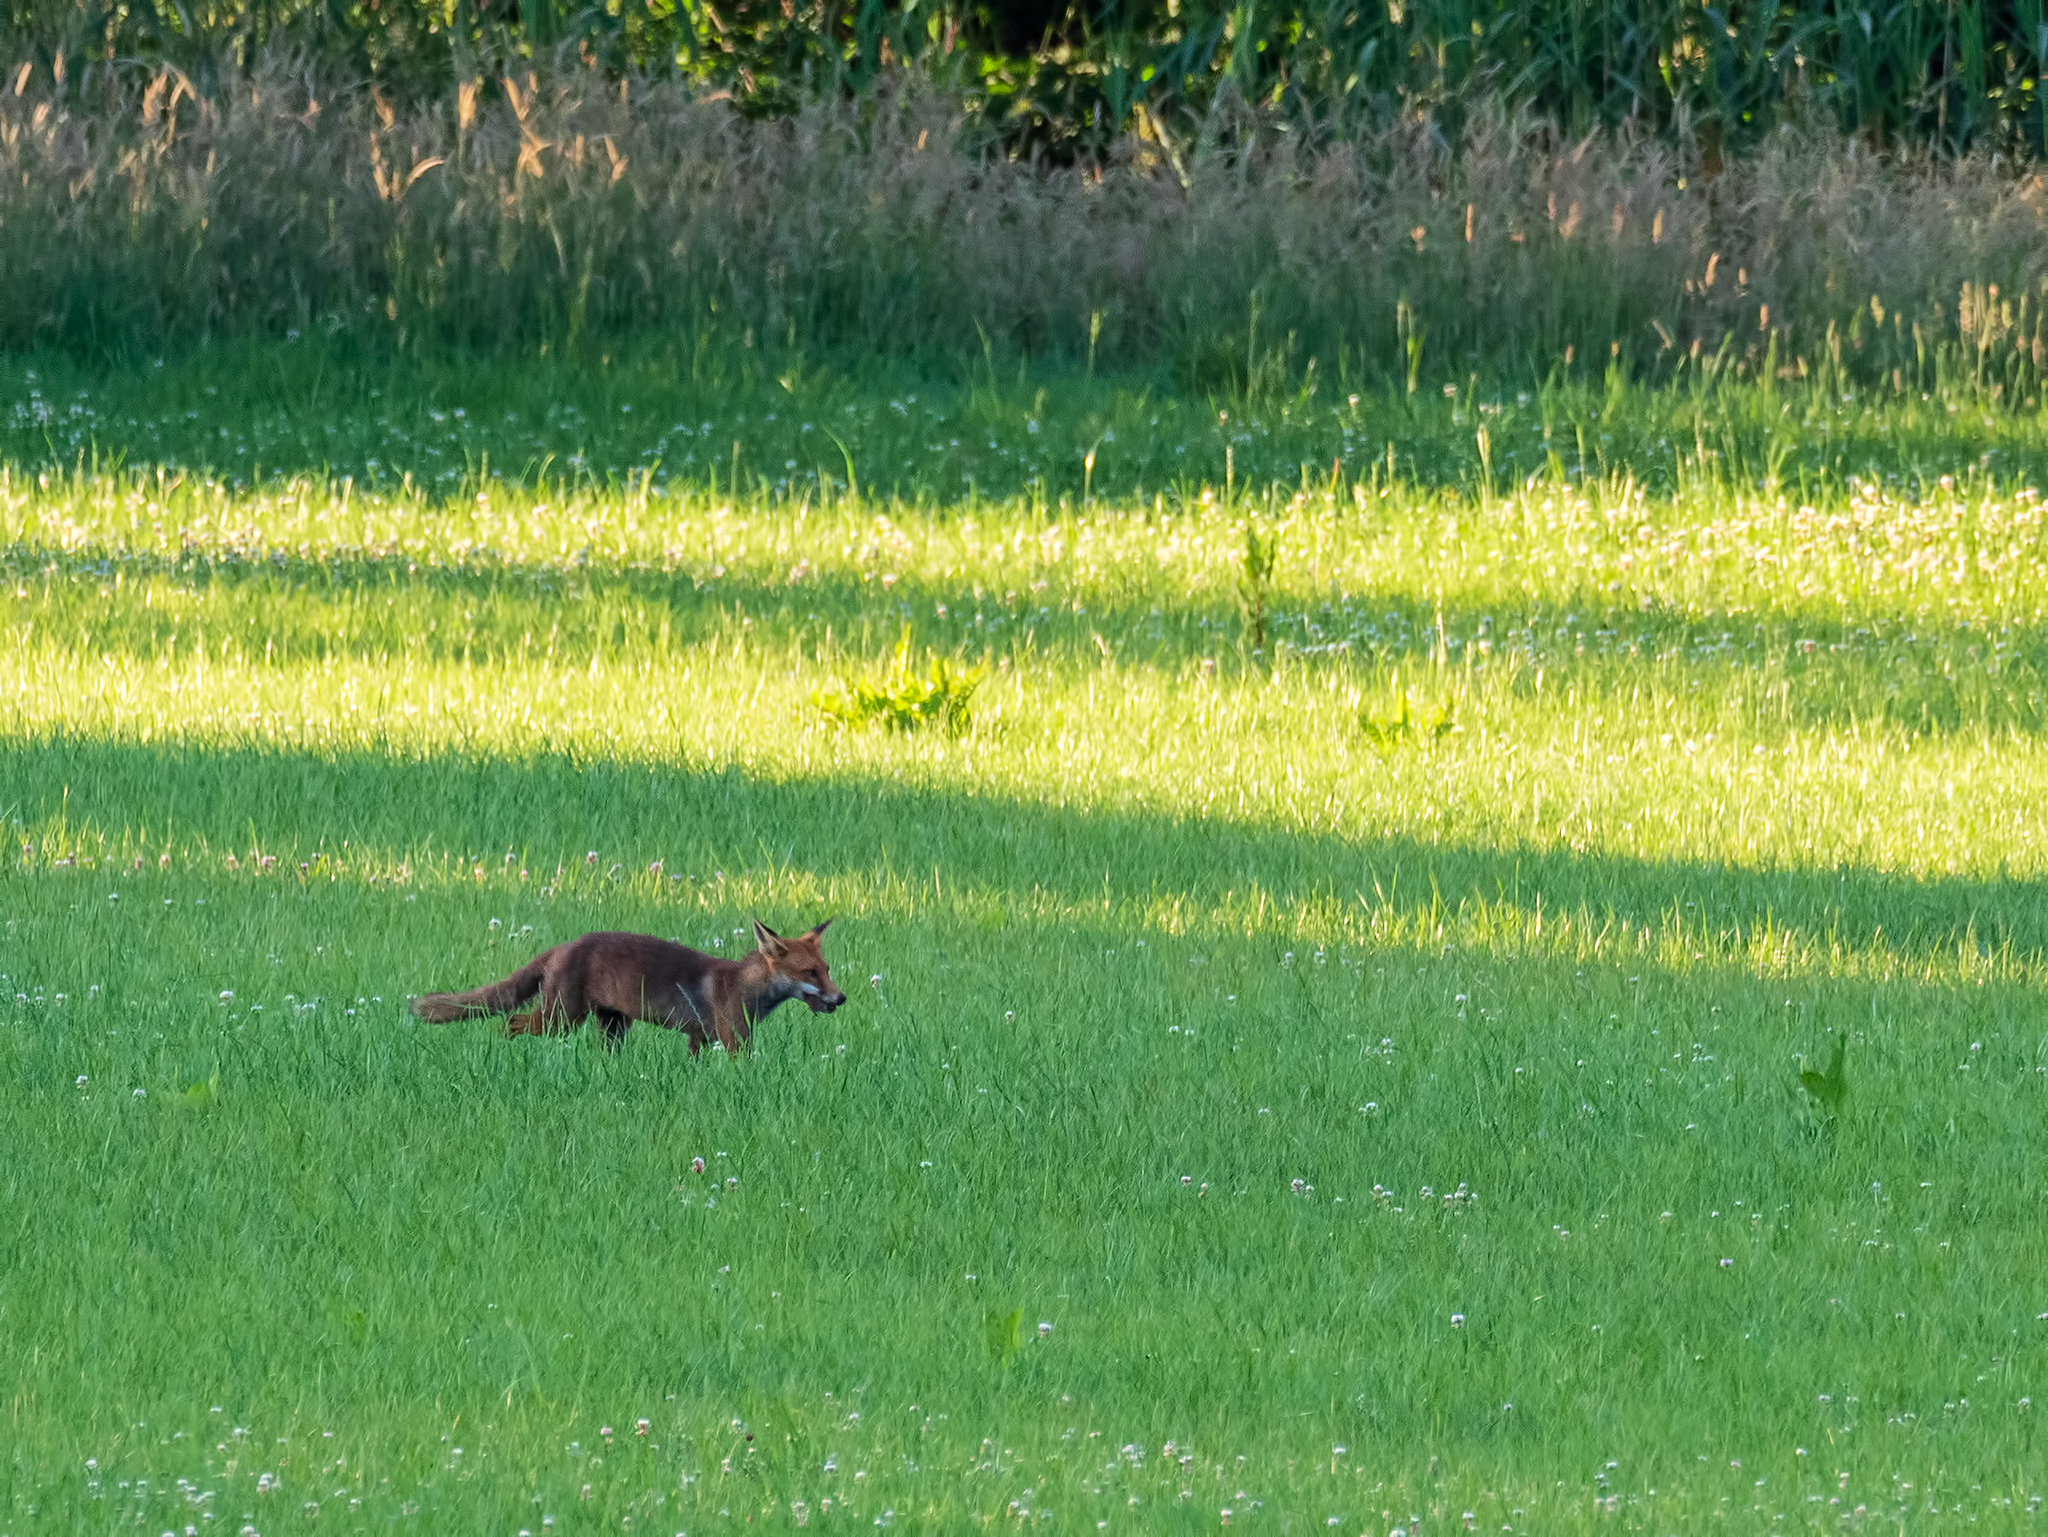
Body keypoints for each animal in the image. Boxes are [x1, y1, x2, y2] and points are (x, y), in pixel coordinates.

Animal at [409, 918, 845, 1054]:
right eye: (809, 973)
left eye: (826, 969)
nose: (841, 998)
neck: (745, 987)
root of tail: (564, 945)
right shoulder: (734, 1040)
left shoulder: (699, 1039)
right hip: (561, 1019)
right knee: (510, 1023)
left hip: (613, 1026)